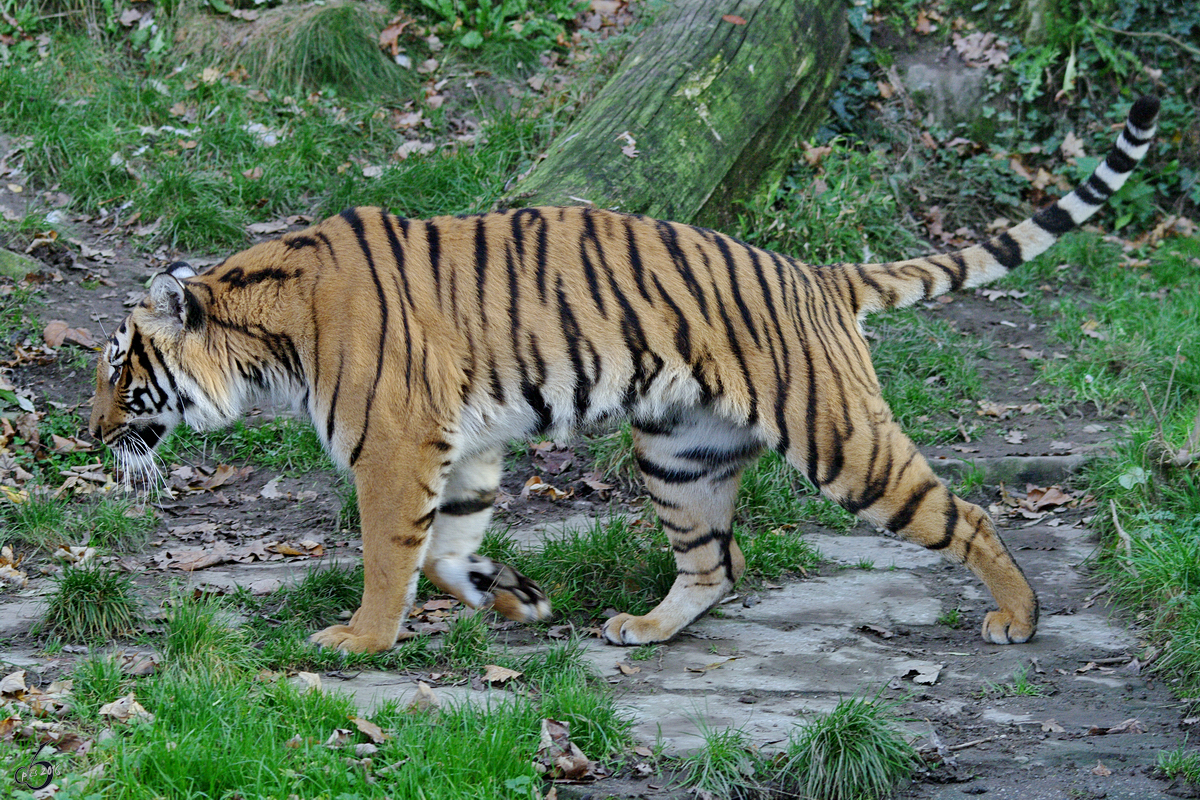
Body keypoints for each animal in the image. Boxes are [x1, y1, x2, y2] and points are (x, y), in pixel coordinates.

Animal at [93, 97, 1161, 652]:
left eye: (116, 368)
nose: (89, 436)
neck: (264, 339)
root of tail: (817, 271)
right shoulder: (465, 444)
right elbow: (447, 548)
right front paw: (515, 596)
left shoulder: (395, 448)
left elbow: (392, 557)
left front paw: (356, 641)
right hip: (682, 455)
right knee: (719, 561)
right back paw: (643, 628)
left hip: (839, 439)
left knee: (963, 514)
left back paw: (1018, 617)